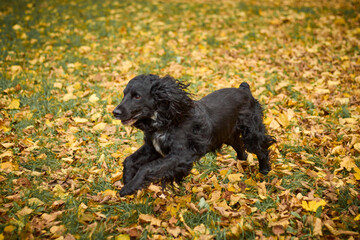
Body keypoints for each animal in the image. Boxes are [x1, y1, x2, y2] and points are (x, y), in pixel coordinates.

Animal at [112, 75, 276, 197]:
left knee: (261, 150)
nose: (115, 112)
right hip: (228, 135)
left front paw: (128, 188)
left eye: (137, 96)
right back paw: (241, 164)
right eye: (124, 94)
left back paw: (264, 171)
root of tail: (245, 90)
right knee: (241, 149)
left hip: (252, 134)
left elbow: (147, 168)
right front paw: (127, 179)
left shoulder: (181, 155)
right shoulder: (152, 148)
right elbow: (129, 160)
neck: (167, 120)